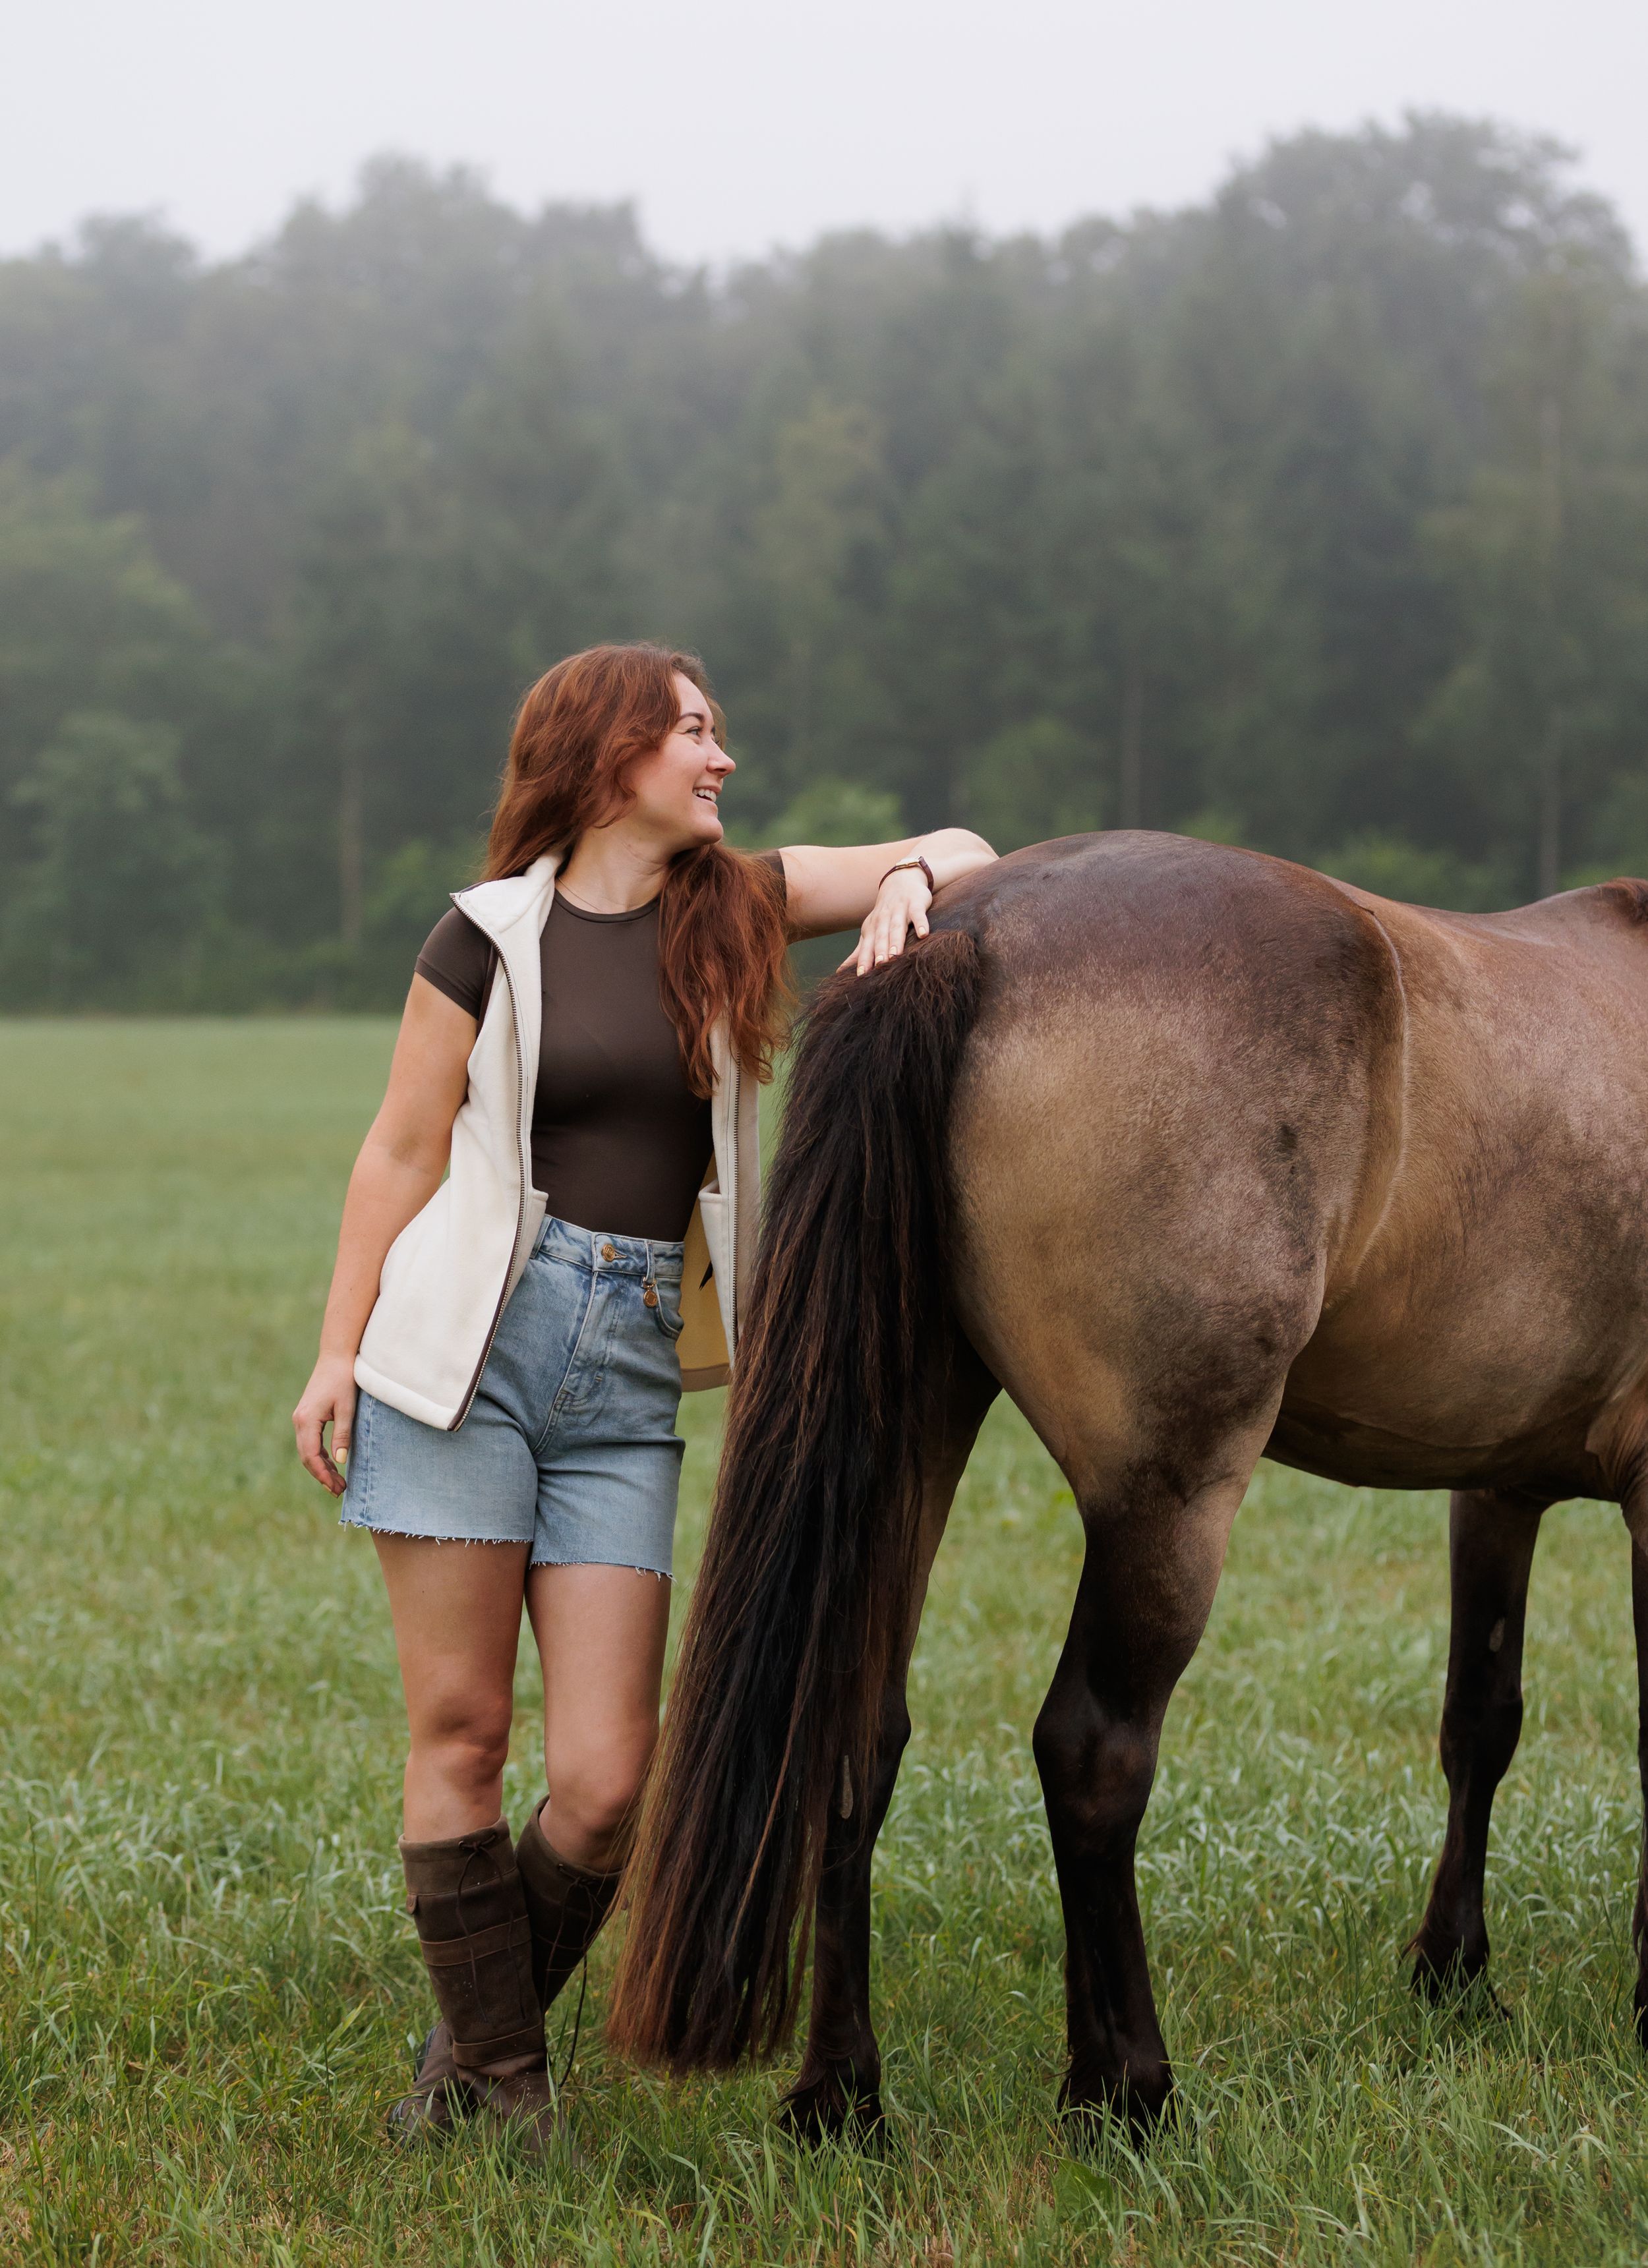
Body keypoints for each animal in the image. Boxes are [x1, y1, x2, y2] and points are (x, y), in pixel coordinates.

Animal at [606, 829, 1648, 2136]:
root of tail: (966, 930)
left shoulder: (1496, 1489)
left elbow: (1482, 1719)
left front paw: (1453, 1971)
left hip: (916, 1432)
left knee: (854, 1730)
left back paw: (843, 2092)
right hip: (1169, 1499)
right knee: (1094, 1751)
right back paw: (1123, 2087)